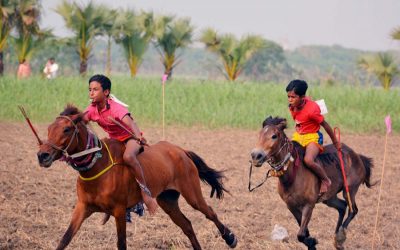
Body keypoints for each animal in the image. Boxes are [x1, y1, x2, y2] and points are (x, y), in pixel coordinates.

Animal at [36, 105, 238, 250]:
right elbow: (65, 239)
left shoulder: (119, 210)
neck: (97, 166)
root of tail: (181, 151)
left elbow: (121, 243)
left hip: (192, 194)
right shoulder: (83, 207)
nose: (42, 155)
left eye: (67, 129)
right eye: (49, 128)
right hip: (168, 201)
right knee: (187, 225)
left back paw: (230, 238)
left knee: (210, 213)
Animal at [250, 117, 376, 250]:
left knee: (353, 210)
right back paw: (336, 238)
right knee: (342, 206)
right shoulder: (291, 206)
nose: (256, 156)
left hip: (350, 189)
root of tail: (358, 156)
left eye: (274, 136)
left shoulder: (309, 205)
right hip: (329, 198)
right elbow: (304, 232)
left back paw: (340, 237)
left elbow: (301, 234)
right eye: (259, 134)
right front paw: (311, 242)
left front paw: (312, 241)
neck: (293, 176)